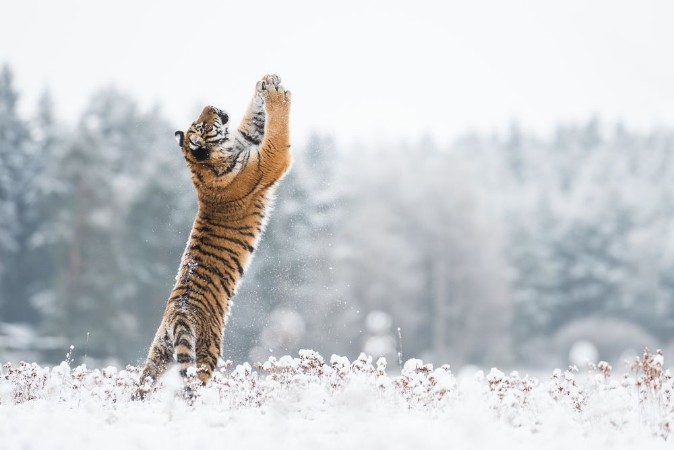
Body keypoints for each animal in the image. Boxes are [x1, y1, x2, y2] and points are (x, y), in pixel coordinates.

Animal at [135, 74, 291, 399]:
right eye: (203, 124)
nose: (211, 106)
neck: (201, 163)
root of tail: (177, 313)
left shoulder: (248, 136)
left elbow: (255, 118)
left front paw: (265, 82)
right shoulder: (269, 159)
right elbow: (278, 128)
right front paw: (277, 94)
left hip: (160, 352)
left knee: (143, 382)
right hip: (208, 349)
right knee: (194, 383)